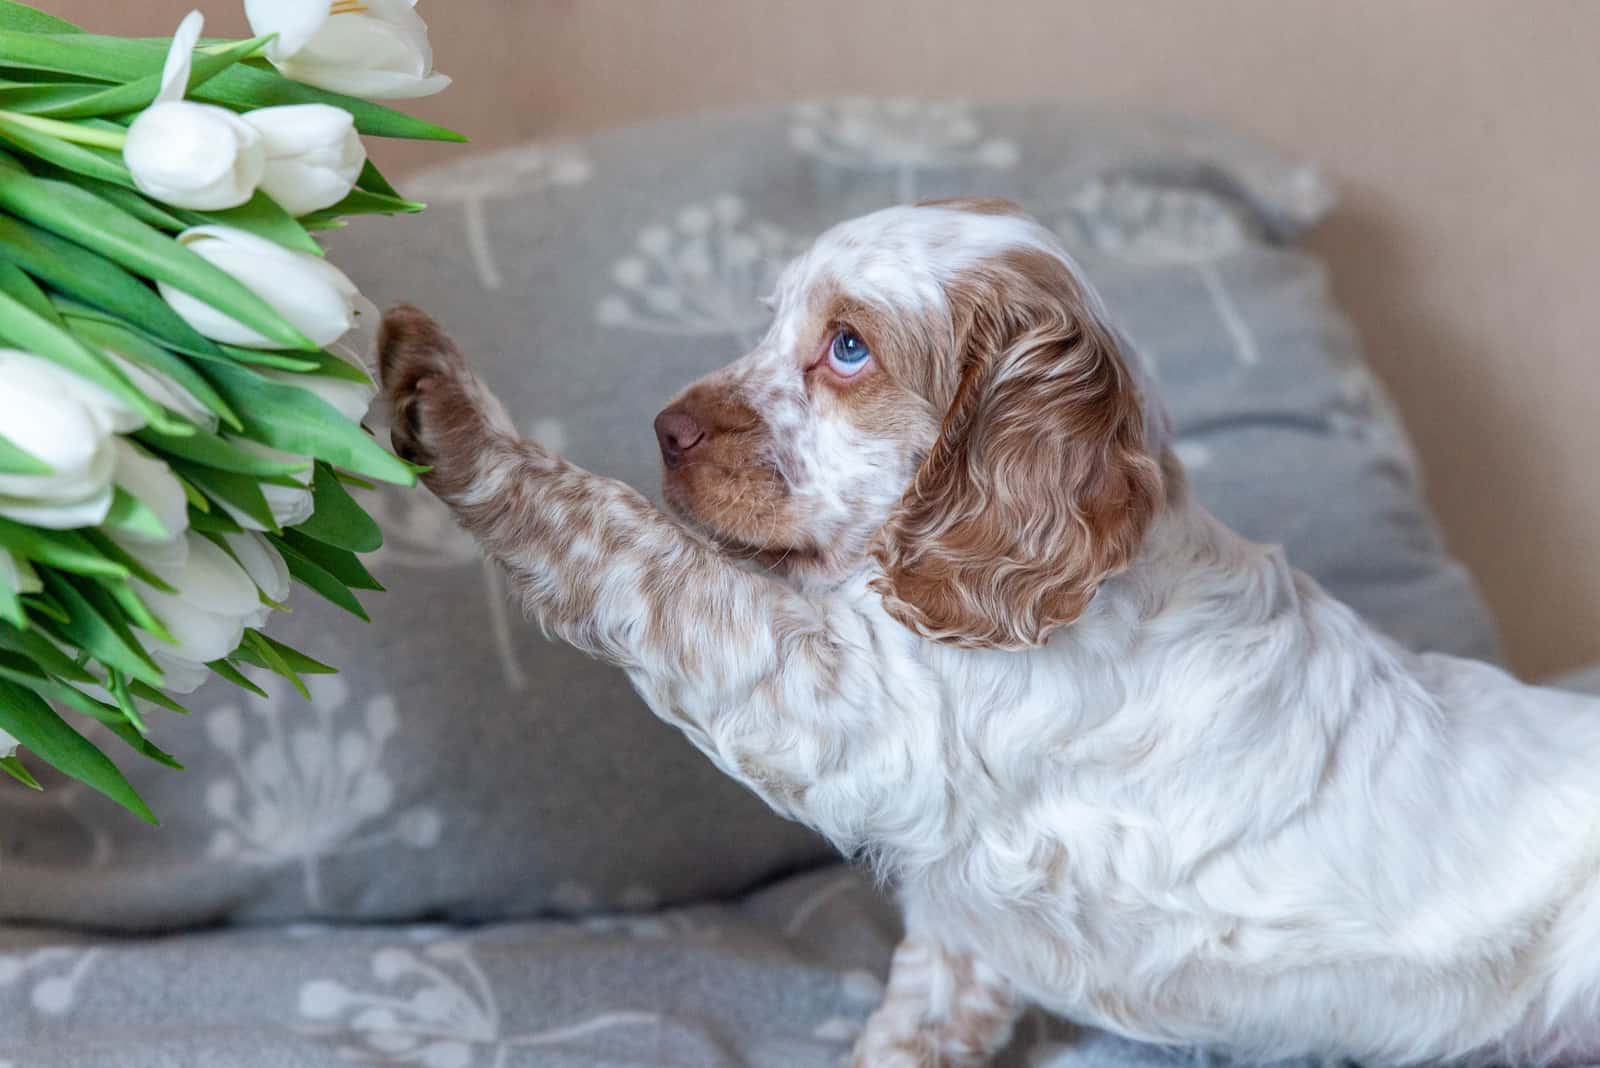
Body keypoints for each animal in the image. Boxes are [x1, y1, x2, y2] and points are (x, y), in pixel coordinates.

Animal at [377, 199, 1600, 1068]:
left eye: (848, 348)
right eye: (773, 323)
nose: (664, 429)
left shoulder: (856, 711)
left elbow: (629, 549)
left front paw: (454, 411)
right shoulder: (961, 919)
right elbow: (928, 996)